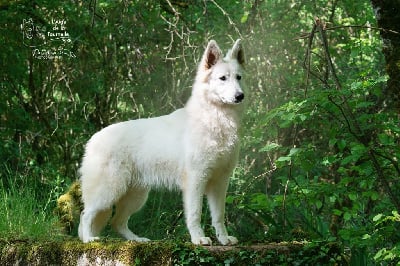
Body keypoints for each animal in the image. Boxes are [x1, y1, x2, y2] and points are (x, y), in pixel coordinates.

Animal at [78, 39, 245, 245]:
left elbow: (219, 216)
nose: (240, 96)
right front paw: (199, 238)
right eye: (223, 78)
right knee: (86, 214)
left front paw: (224, 239)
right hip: (109, 191)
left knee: (118, 222)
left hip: (136, 196)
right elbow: (195, 213)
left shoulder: (220, 181)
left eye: (238, 77)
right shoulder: (196, 180)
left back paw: (137, 240)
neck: (214, 119)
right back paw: (88, 239)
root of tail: (93, 139)